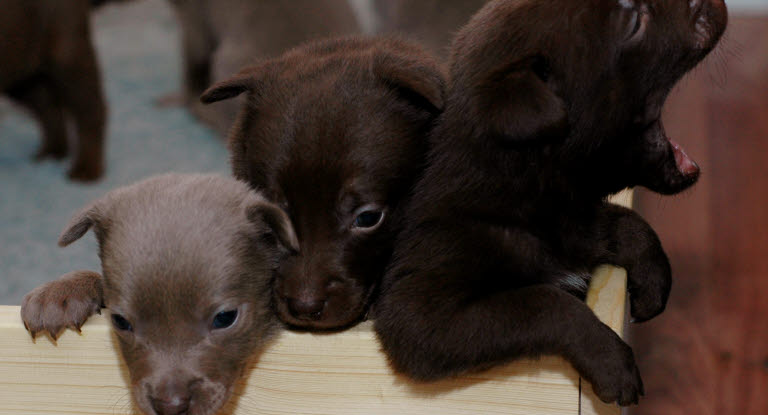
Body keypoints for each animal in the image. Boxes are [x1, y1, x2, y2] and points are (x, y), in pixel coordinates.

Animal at [0, 0, 109, 182]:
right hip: (22, 67)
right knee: (48, 107)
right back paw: (52, 153)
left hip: (67, 51)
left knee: (89, 107)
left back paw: (86, 169)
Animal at [372, 0, 728, 408]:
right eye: (634, 23)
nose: (715, 3)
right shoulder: (418, 312)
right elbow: (543, 300)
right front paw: (611, 360)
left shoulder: (578, 223)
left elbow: (625, 222)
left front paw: (653, 277)